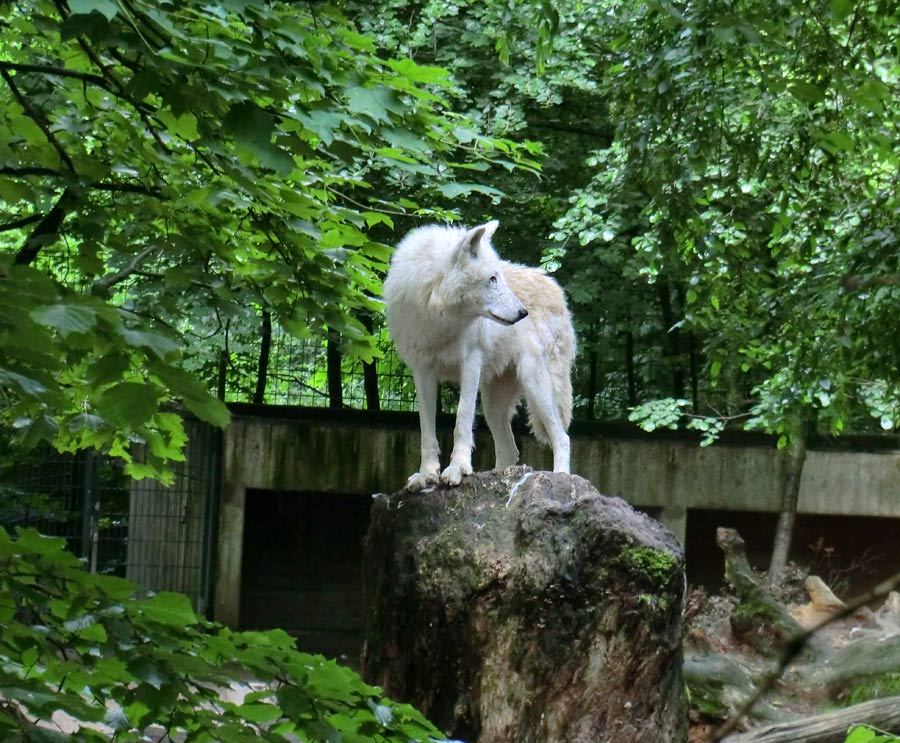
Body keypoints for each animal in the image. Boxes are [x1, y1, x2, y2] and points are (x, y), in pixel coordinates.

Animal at [382, 218, 576, 492]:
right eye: (492, 278)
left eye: (499, 276)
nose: (523, 312)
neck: (438, 315)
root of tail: (556, 290)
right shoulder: (422, 371)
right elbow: (426, 430)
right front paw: (426, 475)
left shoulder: (470, 362)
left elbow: (462, 420)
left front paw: (457, 469)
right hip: (492, 403)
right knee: (510, 451)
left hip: (535, 385)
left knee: (562, 437)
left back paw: (560, 478)